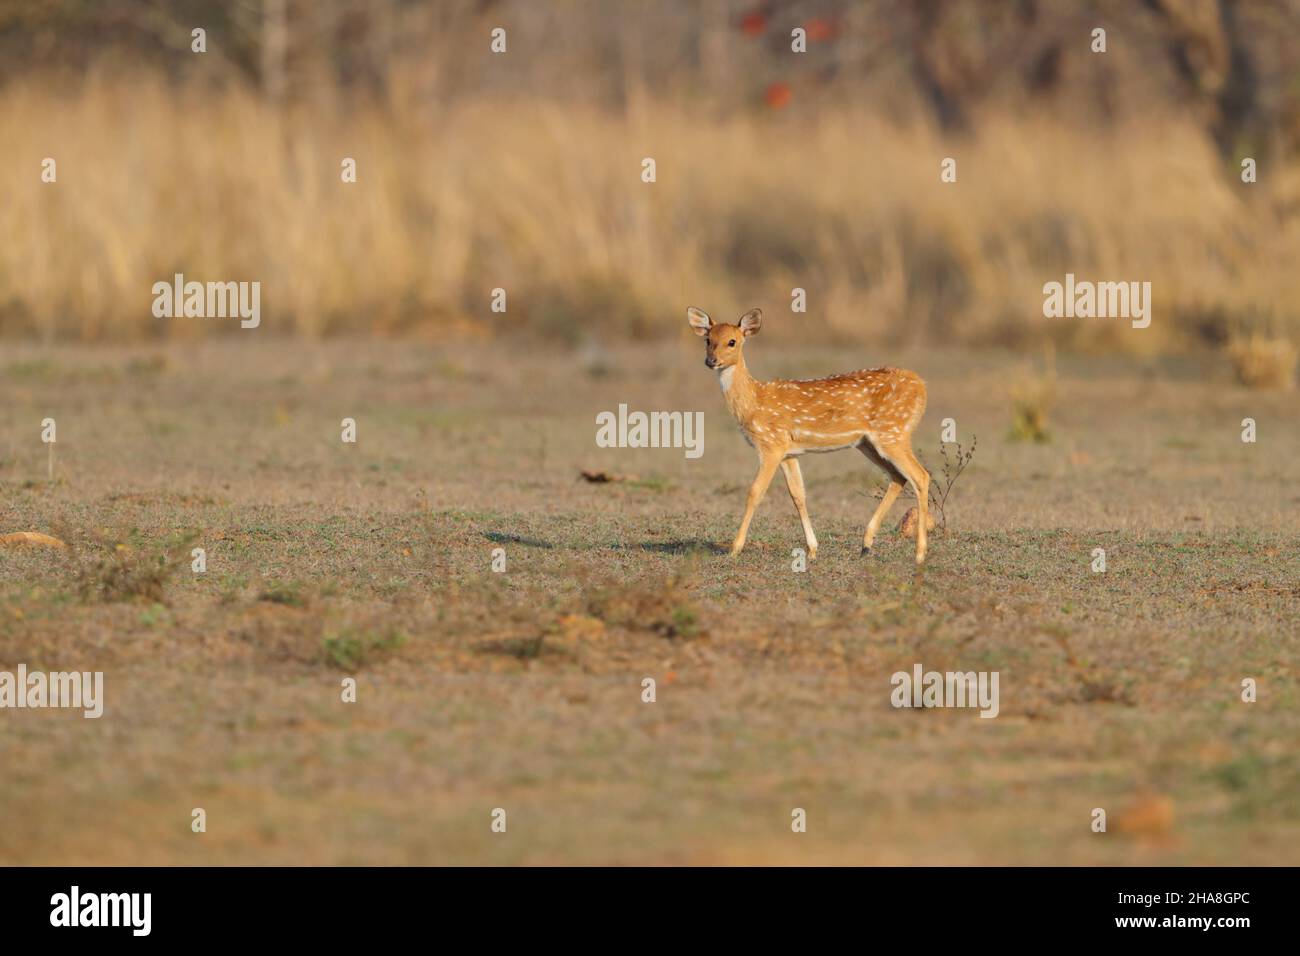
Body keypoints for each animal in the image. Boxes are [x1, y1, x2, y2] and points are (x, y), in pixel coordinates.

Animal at [688, 306, 931, 564]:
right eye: (707, 340)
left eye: (732, 341)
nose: (711, 361)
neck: (753, 402)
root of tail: (921, 386)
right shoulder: (789, 452)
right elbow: (798, 495)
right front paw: (813, 549)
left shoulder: (771, 444)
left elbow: (755, 492)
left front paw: (735, 548)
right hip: (868, 443)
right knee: (898, 476)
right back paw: (866, 544)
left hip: (893, 433)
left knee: (921, 476)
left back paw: (919, 553)